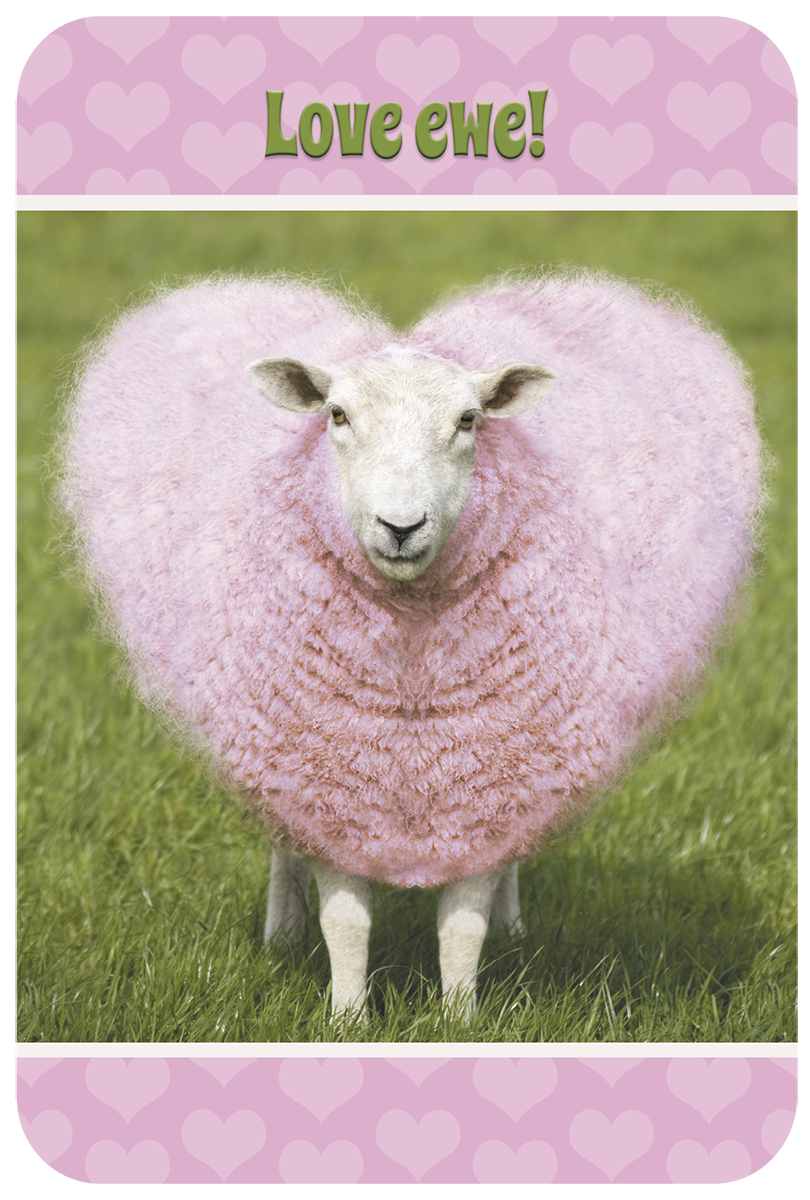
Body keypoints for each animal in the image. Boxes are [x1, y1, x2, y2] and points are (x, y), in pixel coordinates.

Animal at [60, 270, 763, 1021]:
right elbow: (346, 921)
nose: (401, 526)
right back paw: (281, 931)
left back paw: (513, 926)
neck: (410, 677)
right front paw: (347, 1017)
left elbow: (463, 925)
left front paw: (461, 1017)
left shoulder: (486, 780)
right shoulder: (331, 781)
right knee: (282, 838)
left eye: (469, 420)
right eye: (336, 415)